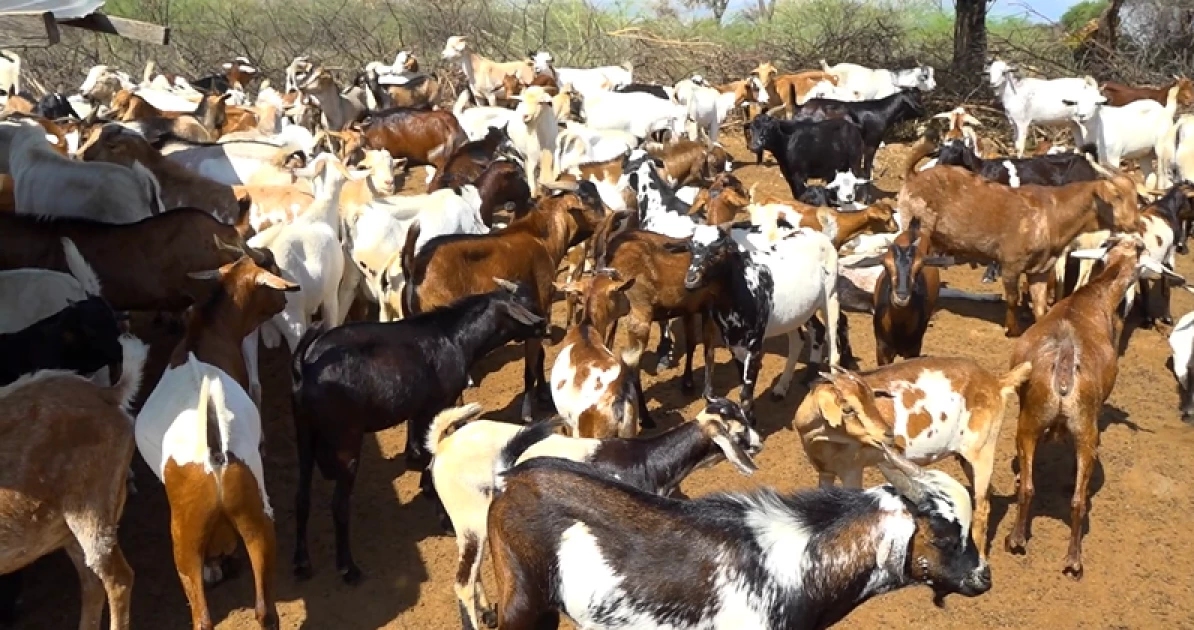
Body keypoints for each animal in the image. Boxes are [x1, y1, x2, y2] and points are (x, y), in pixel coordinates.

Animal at [135, 255, 298, 629]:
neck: (206, 331)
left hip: (185, 536)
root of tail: (214, 456)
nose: (285, 299)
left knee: (204, 617)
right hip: (255, 519)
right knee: (265, 610)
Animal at [290, 281, 547, 583]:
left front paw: (423, 481)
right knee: (339, 505)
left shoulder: (419, 409)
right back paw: (348, 567)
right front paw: (442, 513)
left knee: (301, 497)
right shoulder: (437, 405)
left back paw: (302, 562)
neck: (452, 336)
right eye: (527, 304)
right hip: (346, 442)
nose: (545, 325)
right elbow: (430, 451)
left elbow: (419, 445)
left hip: (304, 437)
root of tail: (305, 368)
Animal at [427, 397, 761, 629]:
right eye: (740, 431)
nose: (759, 443)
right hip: (470, 519)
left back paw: (487, 612)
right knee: (462, 582)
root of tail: (444, 444)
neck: (646, 460)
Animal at [796, 358, 1031, 561]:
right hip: (965, 458)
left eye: (873, 399)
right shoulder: (825, 471)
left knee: (982, 507)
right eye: (847, 409)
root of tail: (996, 382)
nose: (888, 434)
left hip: (982, 451)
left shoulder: (852, 471)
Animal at [1006, 235, 1179, 578]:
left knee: (1032, 488)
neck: (1093, 295)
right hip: (1087, 430)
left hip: (1031, 422)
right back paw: (1073, 561)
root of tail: (1063, 363)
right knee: (1079, 501)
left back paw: (1018, 539)